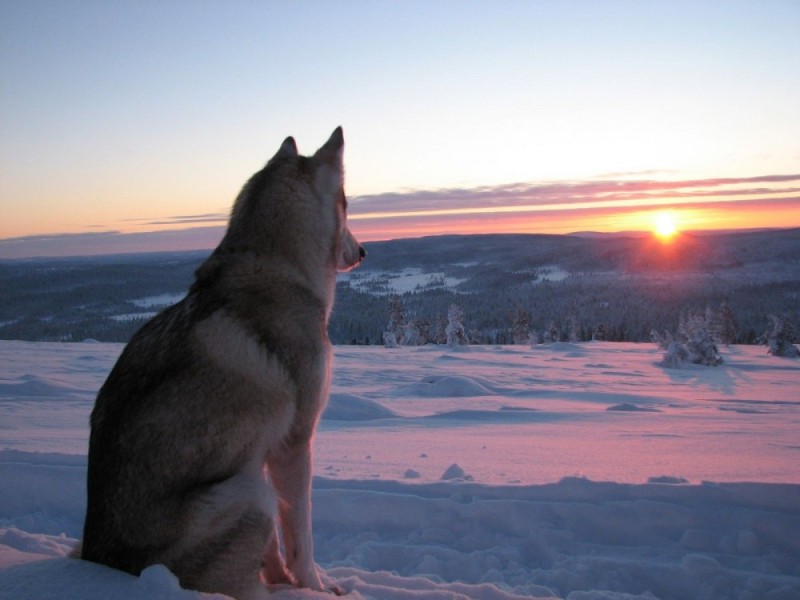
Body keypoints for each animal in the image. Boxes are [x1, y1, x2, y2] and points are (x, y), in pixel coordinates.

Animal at [78, 125, 366, 596]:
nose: (363, 253)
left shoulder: (260, 452)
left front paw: (286, 579)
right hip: (250, 494)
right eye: (347, 203)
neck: (279, 266)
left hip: (249, 485)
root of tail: (100, 559)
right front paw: (314, 587)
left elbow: (275, 550)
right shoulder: (293, 445)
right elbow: (300, 537)